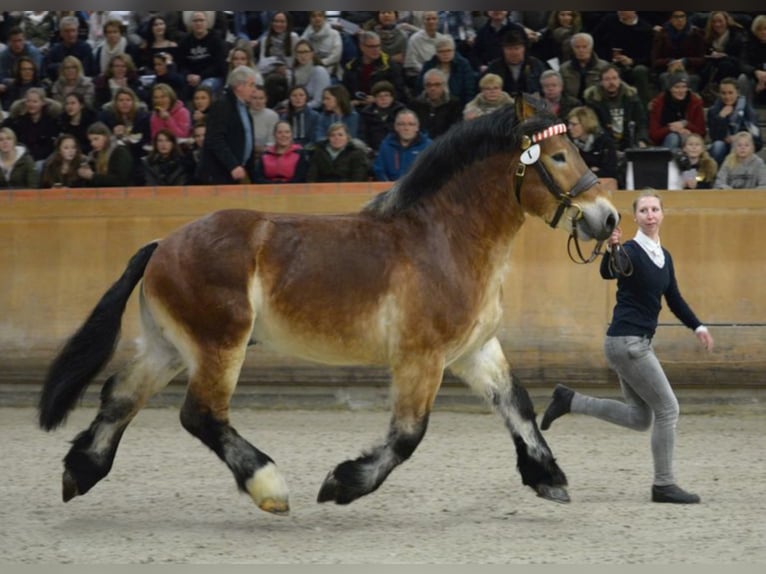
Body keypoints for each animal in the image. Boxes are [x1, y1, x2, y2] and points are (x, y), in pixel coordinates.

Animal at [39, 95, 620, 516]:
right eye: (558, 156)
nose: (608, 217)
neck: (445, 239)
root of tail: (162, 244)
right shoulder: (422, 358)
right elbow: (407, 435)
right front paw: (341, 483)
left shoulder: (474, 351)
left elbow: (517, 406)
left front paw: (549, 479)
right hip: (219, 344)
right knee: (200, 414)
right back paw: (270, 487)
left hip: (170, 346)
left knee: (120, 396)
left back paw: (79, 472)